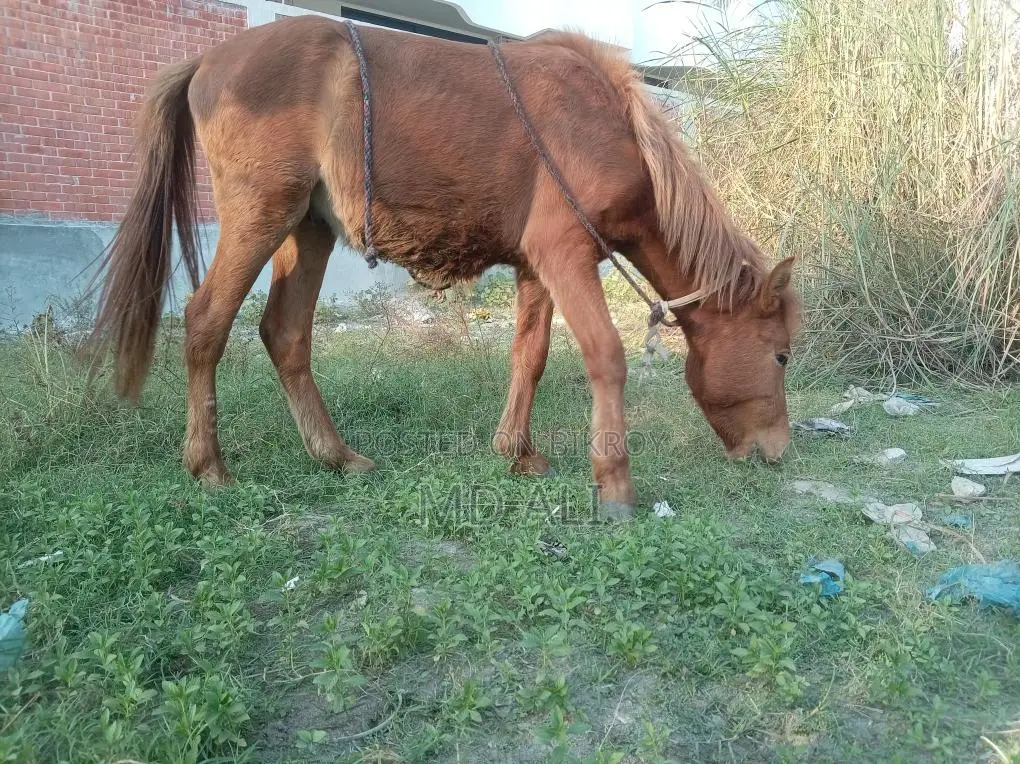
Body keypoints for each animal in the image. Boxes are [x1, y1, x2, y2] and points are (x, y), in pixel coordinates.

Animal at [90, 15, 800, 521]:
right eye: (782, 355)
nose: (778, 451)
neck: (611, 128)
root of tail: (209, 61)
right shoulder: (566, 255)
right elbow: (605, 355)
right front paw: (615, 486)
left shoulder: (538, 266)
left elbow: (530, 356)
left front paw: (517, 451)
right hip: (259, 218)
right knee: (206, 322)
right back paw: (208, 466)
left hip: (308, 229)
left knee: (285, 333)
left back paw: (336, 455)